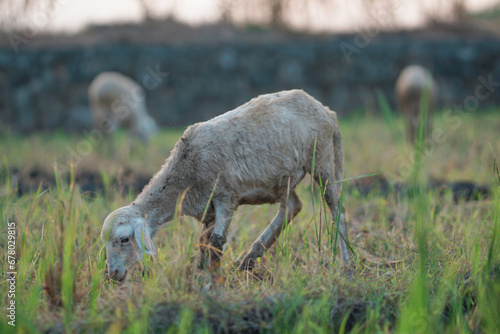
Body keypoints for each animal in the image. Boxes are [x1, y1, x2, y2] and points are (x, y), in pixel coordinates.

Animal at [99, 89, 350, 282]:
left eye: (124, 239)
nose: (112, 274)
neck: (185, 172)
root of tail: (325, 110)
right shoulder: (206, 207)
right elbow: (203, 242)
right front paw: (200, 274)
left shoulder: (226, 196)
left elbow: (217, 242)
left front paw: (212, 283)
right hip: (282, 179)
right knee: (292, 205)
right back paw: (247, 259)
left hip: (322, 157)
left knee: (335, 207)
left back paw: (347, 262)